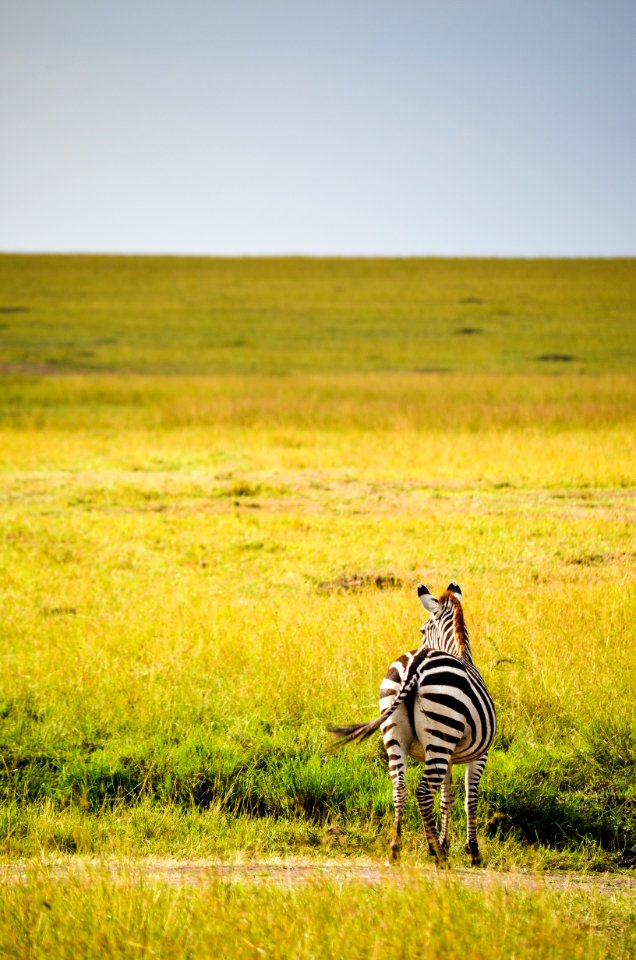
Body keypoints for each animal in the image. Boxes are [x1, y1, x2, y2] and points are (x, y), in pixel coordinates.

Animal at [330, 580, 500, 868]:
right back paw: (437, 854)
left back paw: (396, 848)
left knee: (400, 788)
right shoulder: (479, 755)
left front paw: (446, 841)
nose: (419, 639)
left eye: (422, 630)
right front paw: (472, 850)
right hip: (440, 734)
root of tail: (416, 665)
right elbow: (470, 799)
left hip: (396, 733)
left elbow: (446, 798)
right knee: (422, 792)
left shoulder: (451, 757)